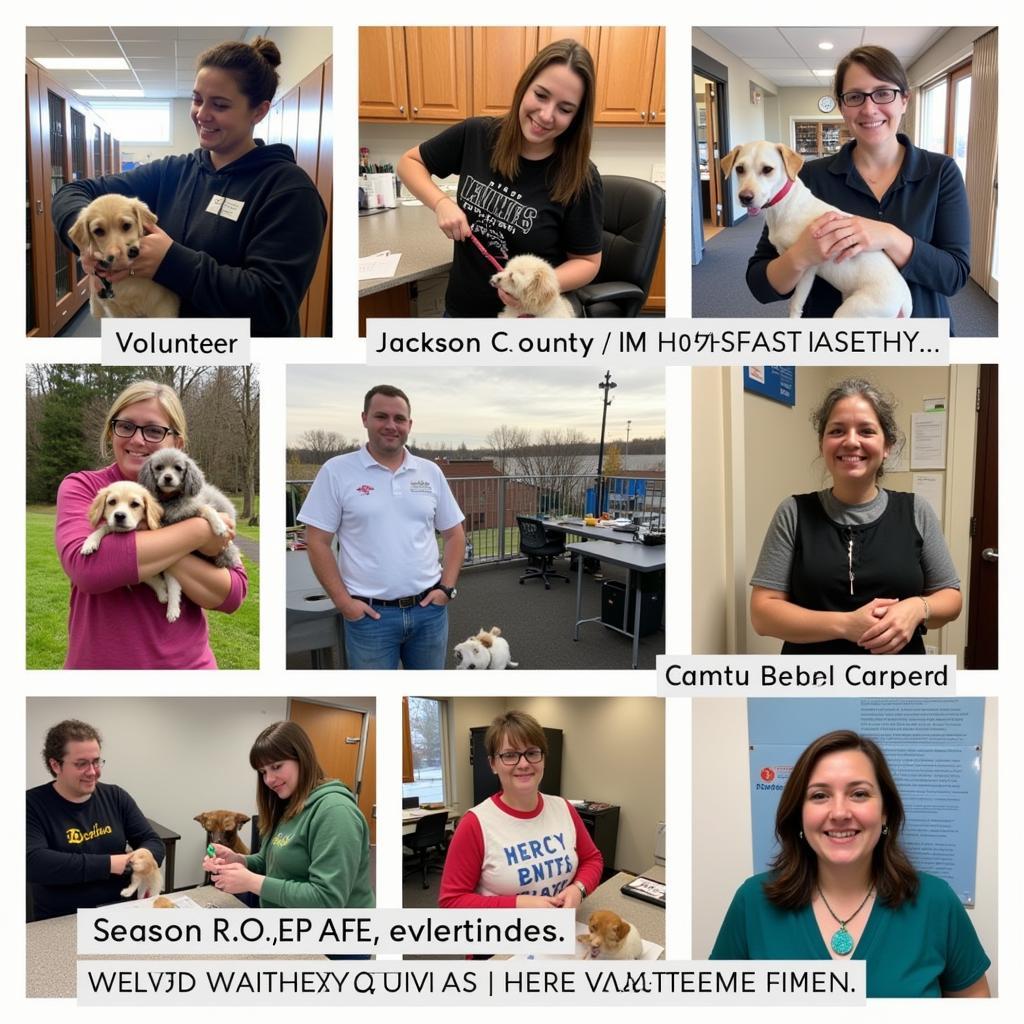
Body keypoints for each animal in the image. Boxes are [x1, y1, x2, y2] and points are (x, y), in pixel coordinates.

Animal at [80, 481, 185, 618]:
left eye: (135, 504)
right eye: (112, 502)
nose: (119, 516)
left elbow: (166, 582)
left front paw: (165, 596)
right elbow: (105, 527)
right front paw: (90, 542)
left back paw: (172, 609)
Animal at [720, 138, 913, 317]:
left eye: (767, 169)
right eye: (739, 169)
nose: (745, 197)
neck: (785, 205)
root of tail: (904, 301)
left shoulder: (808, 269)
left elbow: (796, 303)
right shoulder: (788, 258)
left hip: (852, 311)